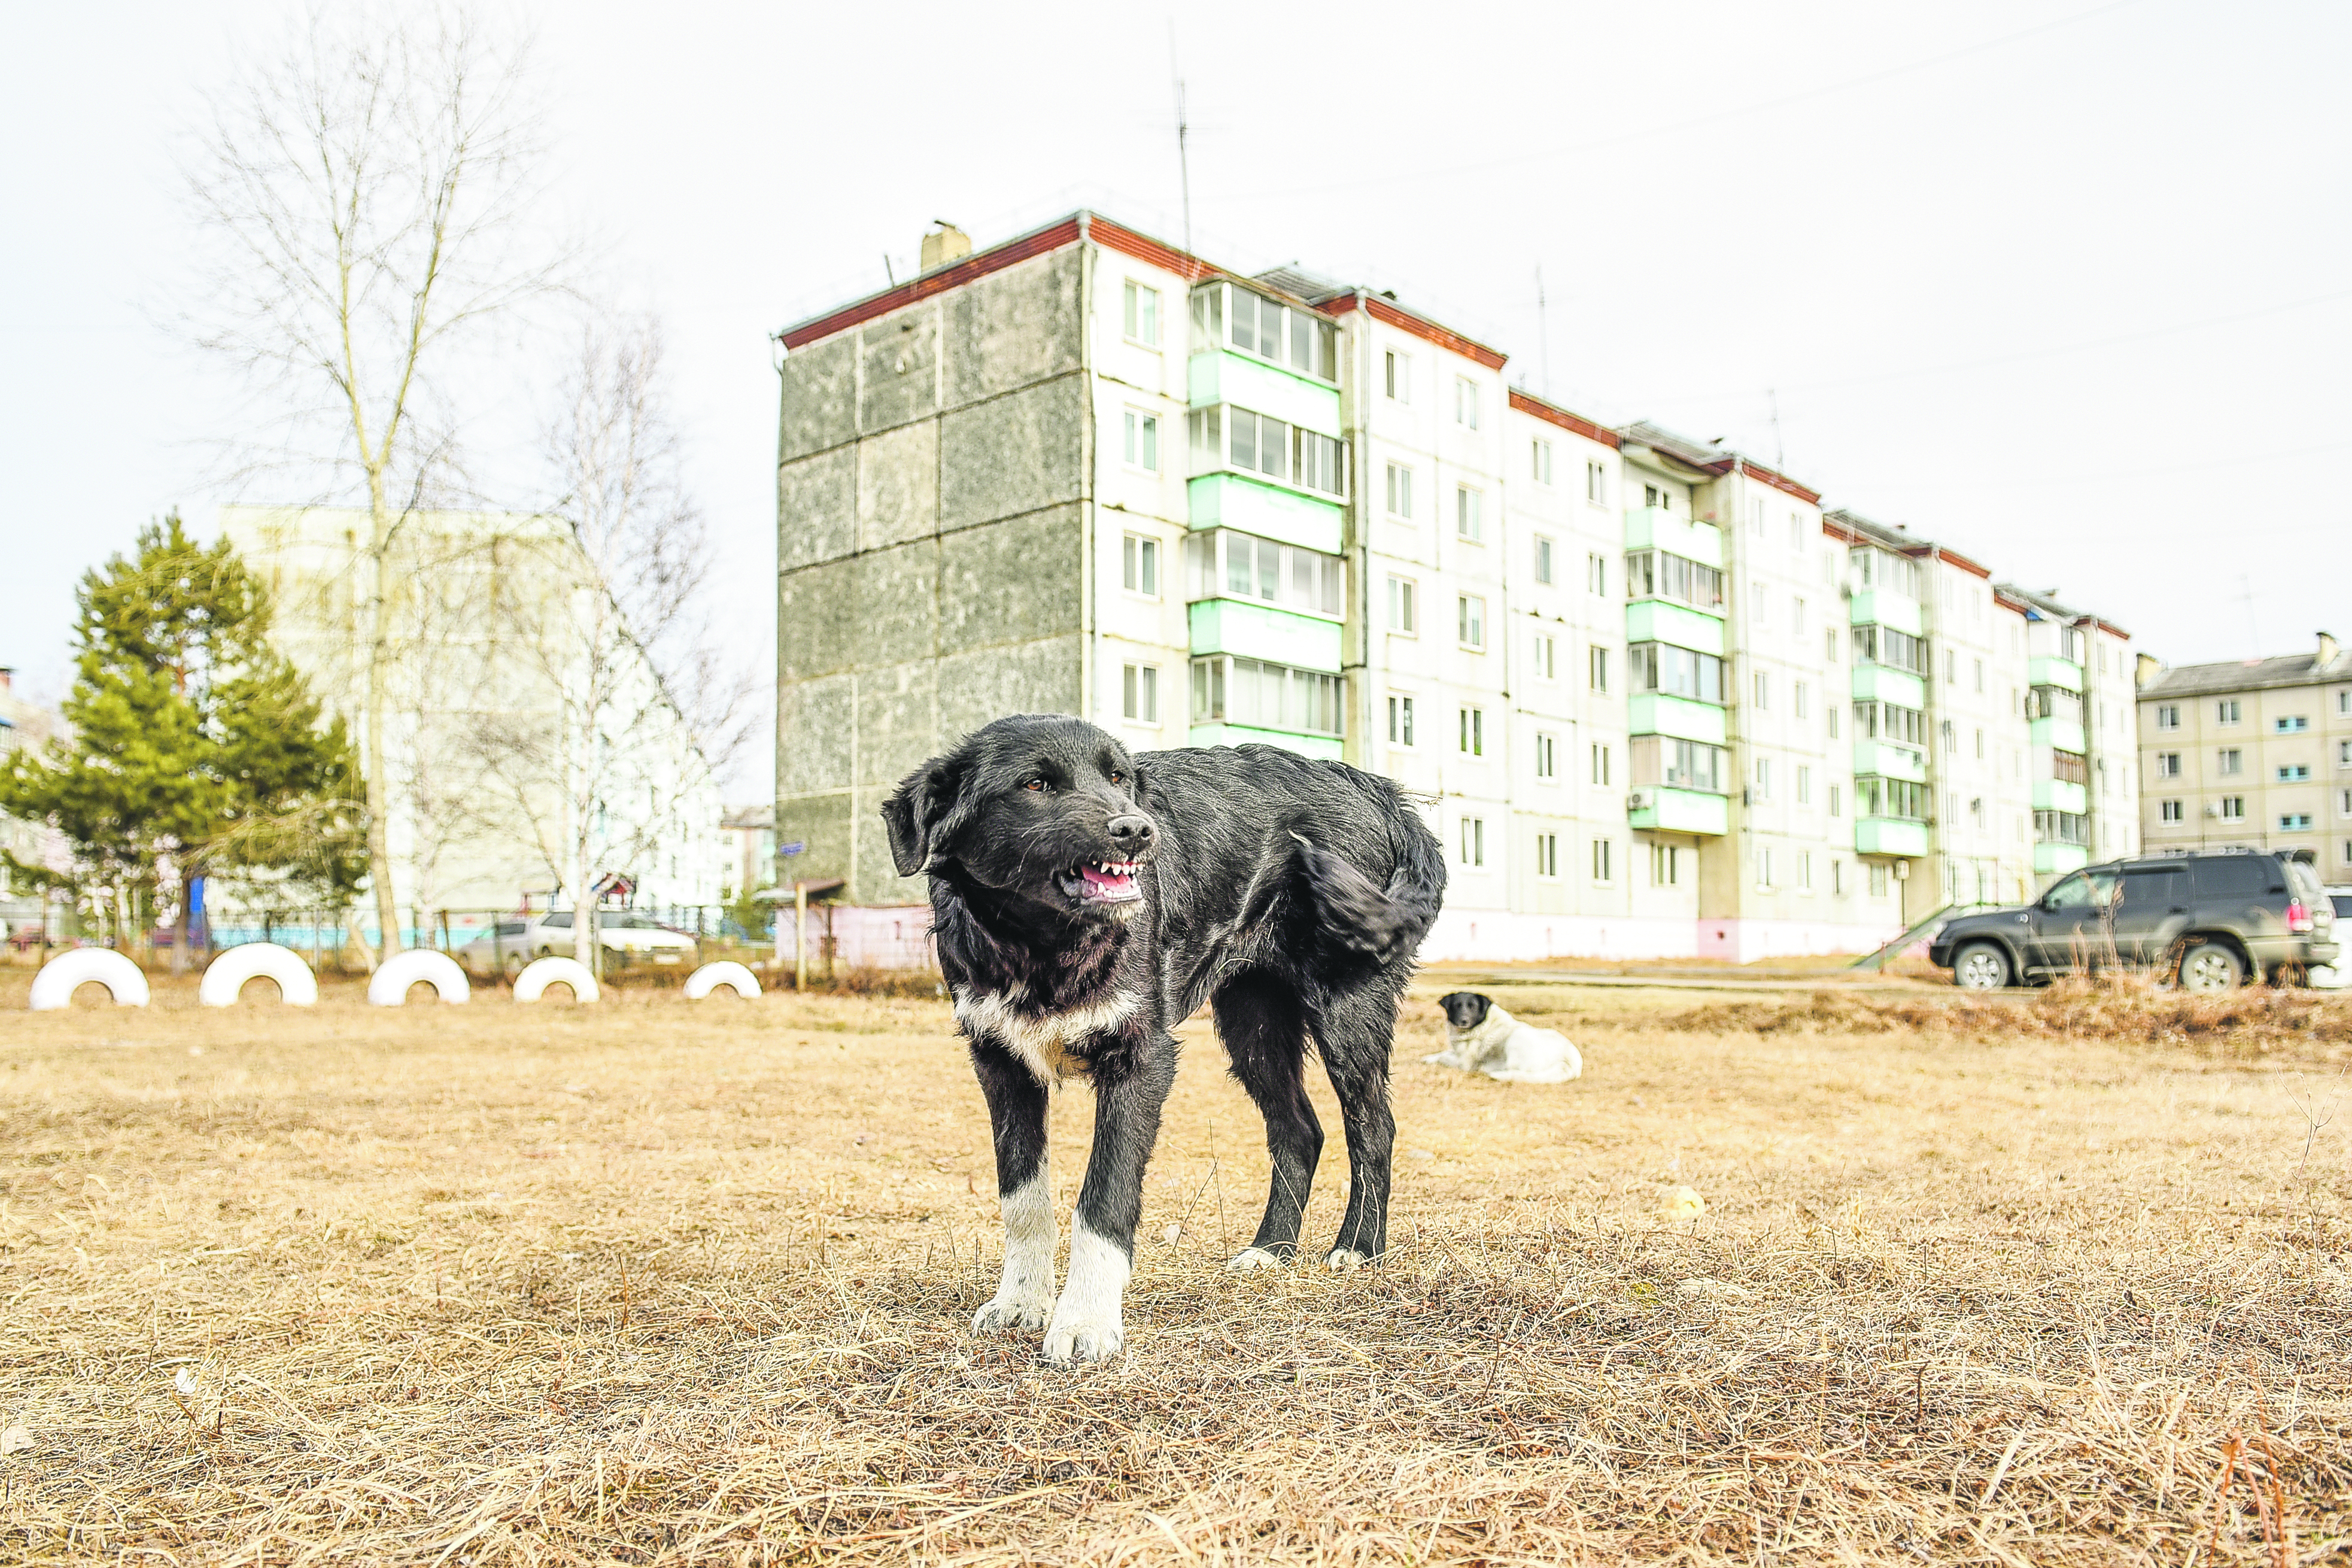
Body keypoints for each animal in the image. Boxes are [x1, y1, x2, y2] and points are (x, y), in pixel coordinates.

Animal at [879, 715, 1439, 1363]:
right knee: (1300, 1130)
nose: (1137, 830)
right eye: (1035, 784)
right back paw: (1270, 1250)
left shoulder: (1141, 1059)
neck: (1044, 947)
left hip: (1348, 1008)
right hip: (1253, 1024)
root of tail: (1379, 789)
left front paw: (1085, 1320)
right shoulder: (1000, 1062)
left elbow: (1104, 1197)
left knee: (1373, 1127)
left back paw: (1360, 1246)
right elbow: (1022, 1197)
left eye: (1119, 778)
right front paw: (1020, 1301)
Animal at [1430, 992, 1580, 1081]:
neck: (1483, 1024)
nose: (1464, 1021)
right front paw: (1428, 1058)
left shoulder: (1464, 1063)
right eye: (1457, 1006)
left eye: (1473, 1007)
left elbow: (1443, 1057)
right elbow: (1442, 1053)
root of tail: (1570, 1062)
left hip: (1517, 1036)